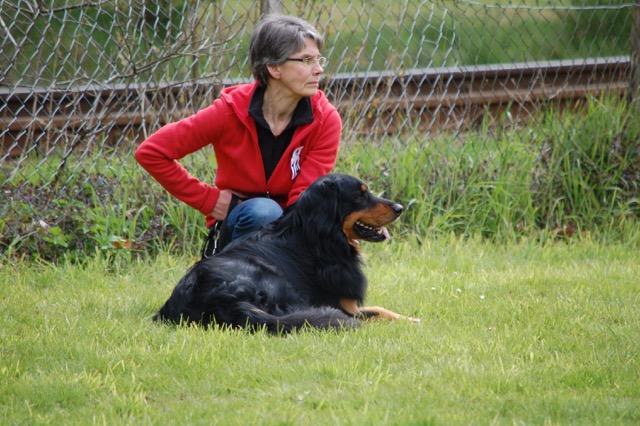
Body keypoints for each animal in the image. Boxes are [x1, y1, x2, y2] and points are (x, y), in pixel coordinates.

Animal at [152, 173, 418, 332]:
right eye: (360, 195)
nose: (399, 208)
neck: (316, 238)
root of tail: (219, 299)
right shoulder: (340, 305)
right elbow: (378, 311)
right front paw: (412, 321)